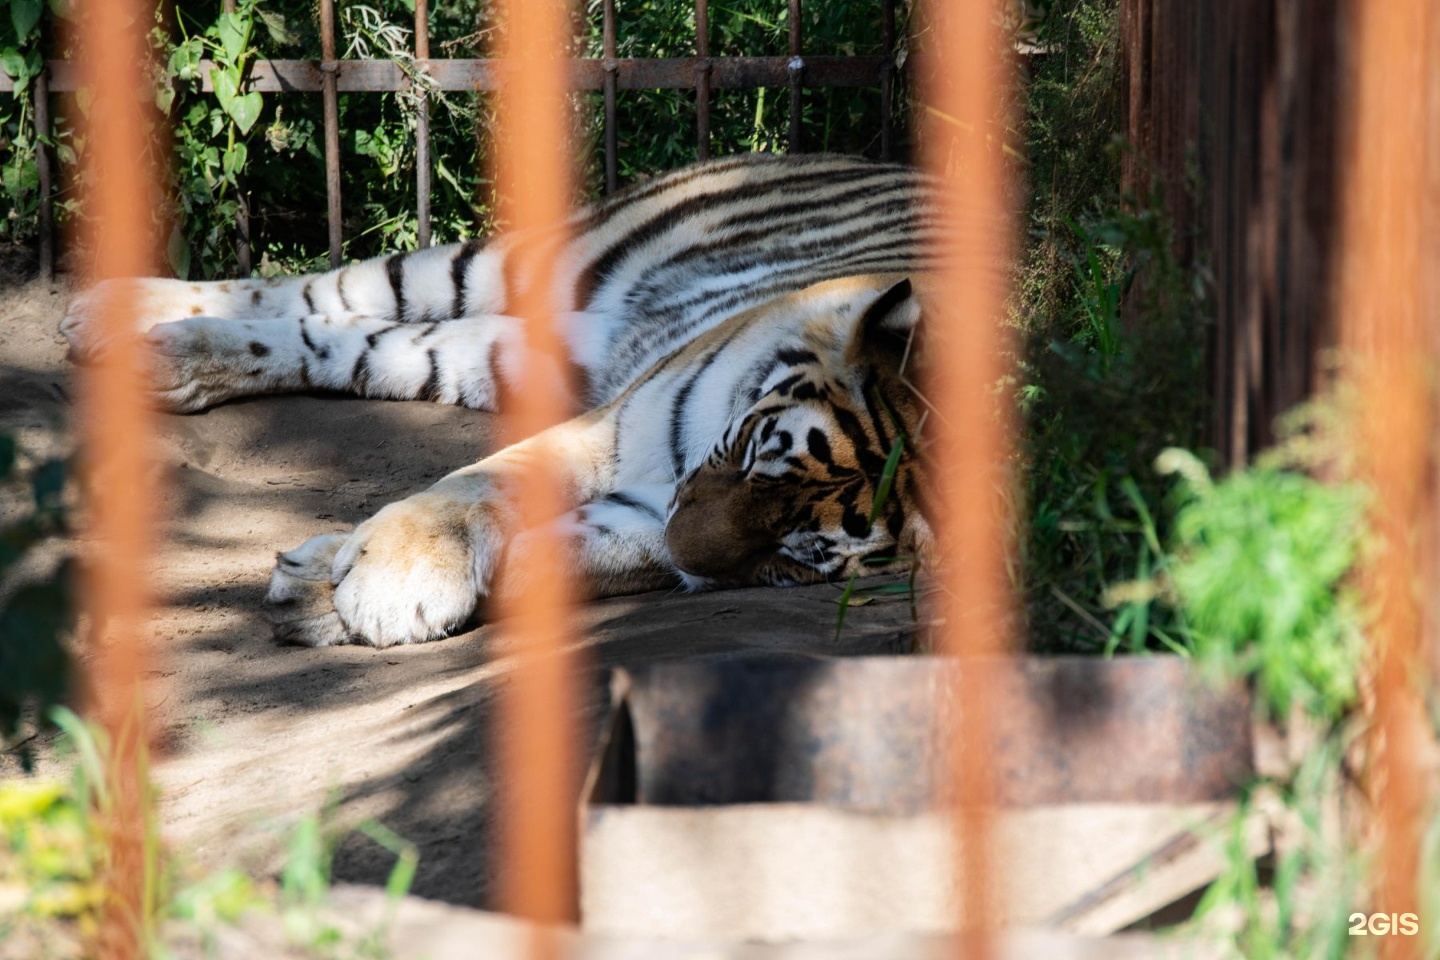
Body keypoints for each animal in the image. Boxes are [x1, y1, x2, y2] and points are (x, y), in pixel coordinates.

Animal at [64, 154, 944, 650]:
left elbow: (574, 553)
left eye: (794, 553)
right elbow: (479, 482)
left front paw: (323, 587)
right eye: (759, 454)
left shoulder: (652, 513)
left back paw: (161, 359)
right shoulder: (616, 432)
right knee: (323, 287)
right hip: (530, 260)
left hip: (523, 347)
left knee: (358, 343)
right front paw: (390, 572)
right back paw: (116, 319)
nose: (683, 540)